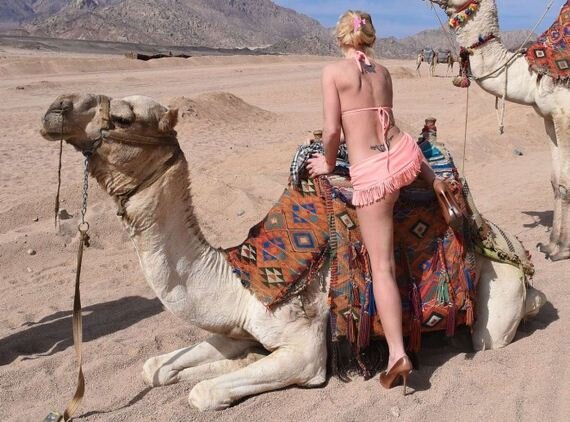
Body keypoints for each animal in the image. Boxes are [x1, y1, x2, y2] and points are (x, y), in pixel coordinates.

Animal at [40, 93, 546, 410]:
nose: (55, 108)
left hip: (496, 304)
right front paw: (230, 360)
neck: (241, 277)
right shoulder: (237, 324)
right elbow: (153, 370)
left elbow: (204, 393)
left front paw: (225, 374)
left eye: (124, 117)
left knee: (495, 331)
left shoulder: (304, 349)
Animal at [428, 0, 570, 261]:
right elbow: (556, 181)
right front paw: (550, 244)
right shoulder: (549, 117)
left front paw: (562, 249)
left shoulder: (565, 114)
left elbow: (566, 181)